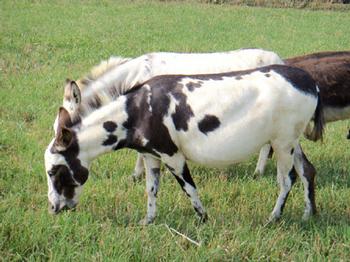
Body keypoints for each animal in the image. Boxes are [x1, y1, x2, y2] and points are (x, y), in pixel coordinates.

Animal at [45, 64, 324, 224]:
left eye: (53, 171)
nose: (54, 208)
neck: (135, 112)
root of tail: (309, 80)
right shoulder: (151, 155)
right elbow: (151, 189)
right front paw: (148, 221)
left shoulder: (172, 155)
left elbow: (189, 188)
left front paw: (203, 219)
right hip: (290, 140)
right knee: (307, 171)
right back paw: (308, 215)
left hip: (282, 143)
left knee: (287, 180)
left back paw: (273, 218)